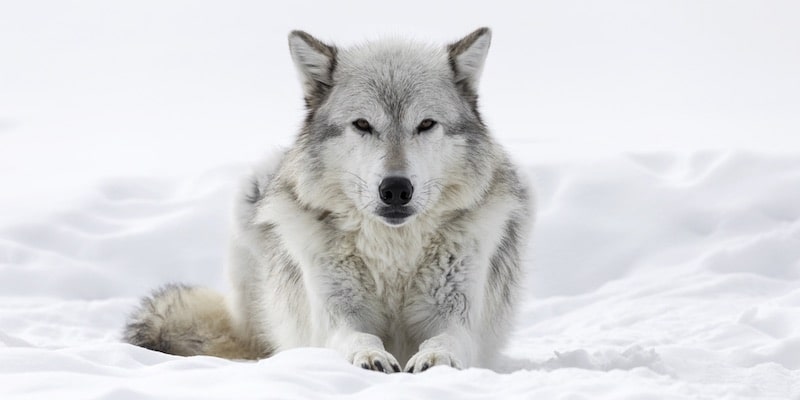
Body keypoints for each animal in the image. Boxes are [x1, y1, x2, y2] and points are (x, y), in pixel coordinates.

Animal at [123, 27, 534, 373]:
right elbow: (357, 336)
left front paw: (435, 358)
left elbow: (447, 339)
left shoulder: (457, 316)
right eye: (363, 125)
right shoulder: (336, 316)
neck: (393, 254)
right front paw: (370, 356)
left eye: (426, 124)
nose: (396, 189)